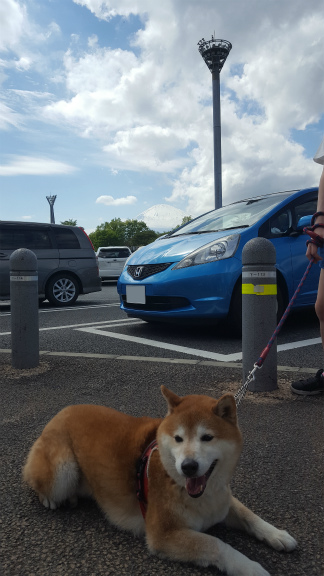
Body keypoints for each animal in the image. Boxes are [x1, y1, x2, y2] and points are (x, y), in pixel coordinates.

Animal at [22, 388, 296, 576]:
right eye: (178, 438)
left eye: (207, 437)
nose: (188, 466)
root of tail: (62, 411)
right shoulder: (162, 534)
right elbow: (217, 545)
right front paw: (249, 567)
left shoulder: (222, 500)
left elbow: (249, 515)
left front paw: (277, 534)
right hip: (62, 472)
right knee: (35, 480)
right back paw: (53, 499)